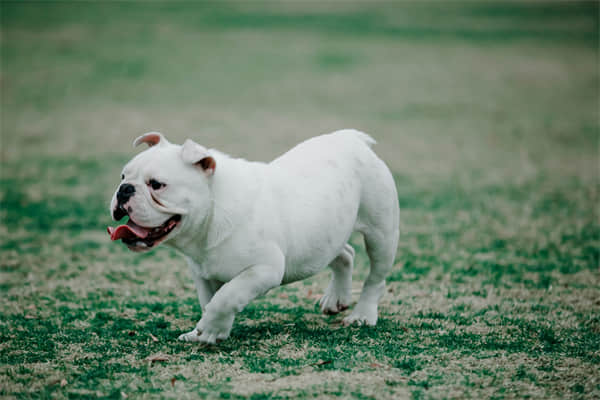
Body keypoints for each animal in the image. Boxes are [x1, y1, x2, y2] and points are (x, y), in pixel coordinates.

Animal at [108, 129, 398, 344]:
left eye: (157, 185)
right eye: (122, 176)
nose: (124, 189)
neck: (211, 213)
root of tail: (352, 139)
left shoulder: (264, 269)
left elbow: (226, 297)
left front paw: (210, 329)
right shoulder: (203, 274)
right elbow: (209, 300)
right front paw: (204, 332)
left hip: (381, 234)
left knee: (376, 278)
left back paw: (363, 314)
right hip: (324, 237)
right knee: (345, 254)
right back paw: (336, 299)